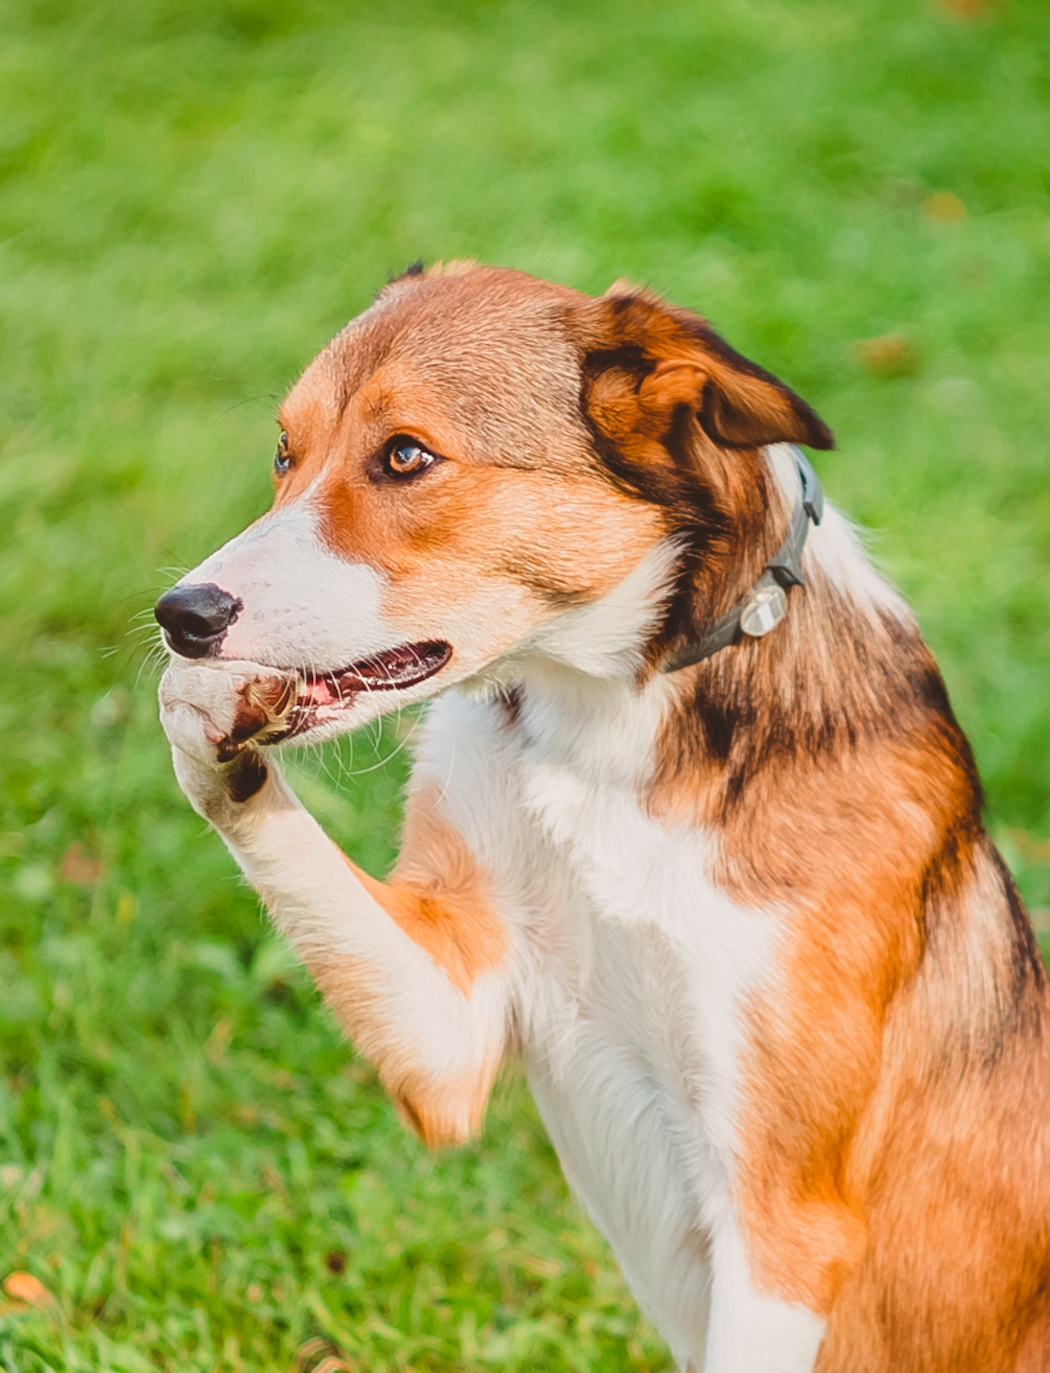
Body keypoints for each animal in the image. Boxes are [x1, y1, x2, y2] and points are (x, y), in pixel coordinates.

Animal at [155, 262, 1048, 1367]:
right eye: (286, 453)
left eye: (405, 455)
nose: (183, 616)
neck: (609, 729)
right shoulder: (451, 1029)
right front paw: (205, 714)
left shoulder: (782, 1230)